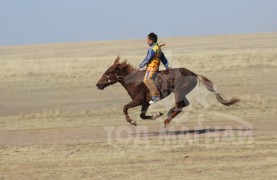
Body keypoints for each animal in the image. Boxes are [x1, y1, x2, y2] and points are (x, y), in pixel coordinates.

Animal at [96, 56, 238, 126]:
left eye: (108, 72)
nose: (98, 84)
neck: (133, 80)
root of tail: (192, 73)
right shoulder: (145, 103)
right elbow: (142, 115)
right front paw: (156, 114)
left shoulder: (138, 100)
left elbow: (125, 107)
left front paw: (132, 122)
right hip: (181, 93)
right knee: (183, 104)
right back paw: (168, 113)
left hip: (179, 92)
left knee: (179, 107)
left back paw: (167, 121)